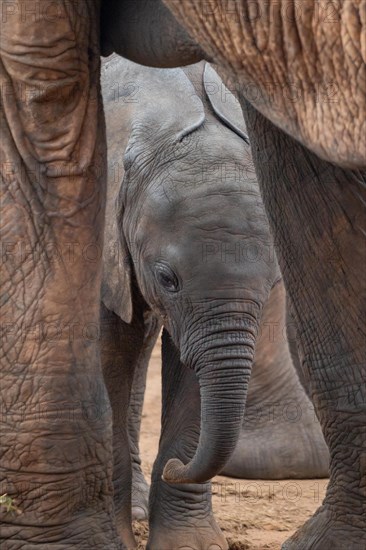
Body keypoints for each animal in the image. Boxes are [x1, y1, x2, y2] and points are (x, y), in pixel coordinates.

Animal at [0, 3, 364, 550]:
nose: (176, 466)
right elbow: (112, 352)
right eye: (167, 277)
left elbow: (193, 368)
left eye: (271, 282)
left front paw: (189, 543)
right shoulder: (113, 238)